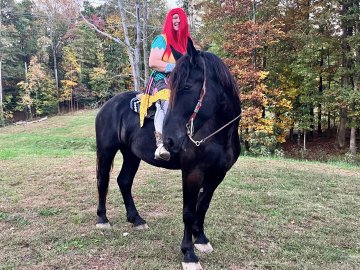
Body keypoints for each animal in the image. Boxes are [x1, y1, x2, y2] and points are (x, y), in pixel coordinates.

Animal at [95, 38, 242, 270]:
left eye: (188, 87)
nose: (170, 140)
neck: (217, 134)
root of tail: (108, 105)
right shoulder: (192, 173)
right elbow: (189, 211)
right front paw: (188, 253)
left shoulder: (217, 174)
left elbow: (203, 205)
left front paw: (201, 239)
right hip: (106, 151)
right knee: (103, 181)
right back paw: (103, 220)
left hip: (131, 155)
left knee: (124, 181)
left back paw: (136, 219)